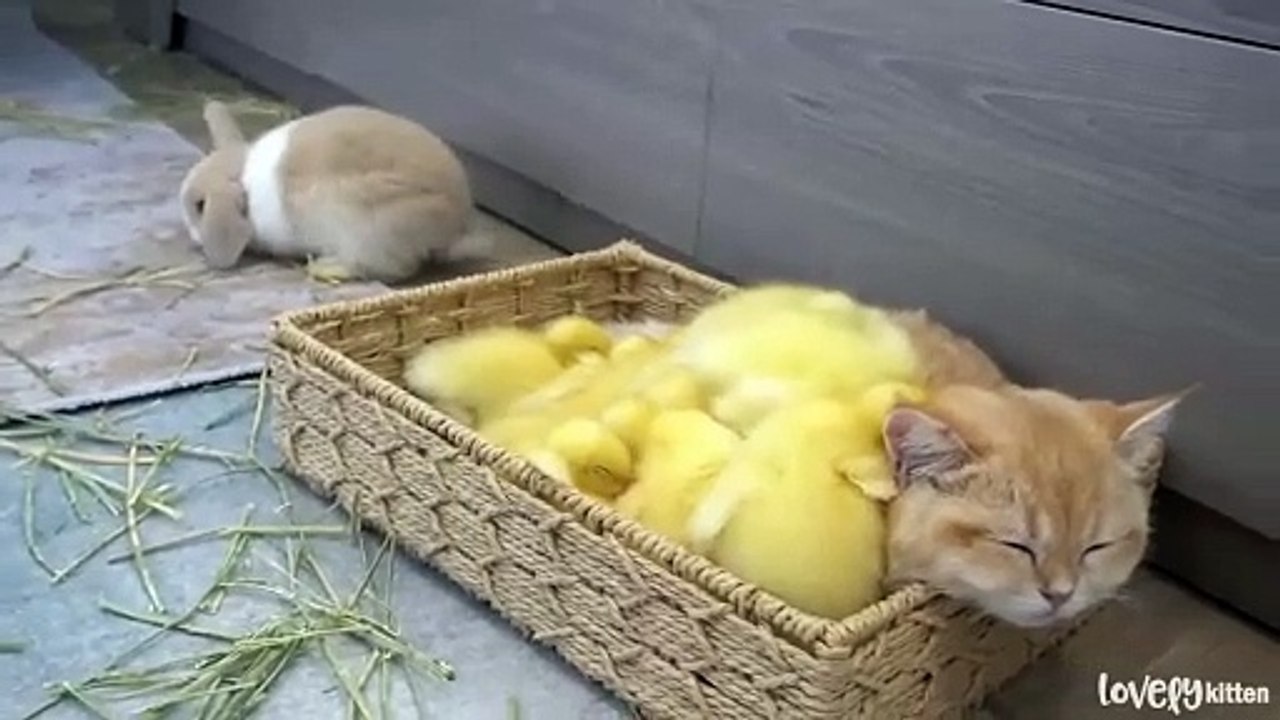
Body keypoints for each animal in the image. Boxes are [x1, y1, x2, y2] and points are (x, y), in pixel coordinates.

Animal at [178, 100, 482, 283]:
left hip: (369, 231)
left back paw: (323, 267)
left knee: (391, 269)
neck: (248, 189)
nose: (193, 238)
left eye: (200, 205)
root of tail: (456, 226)